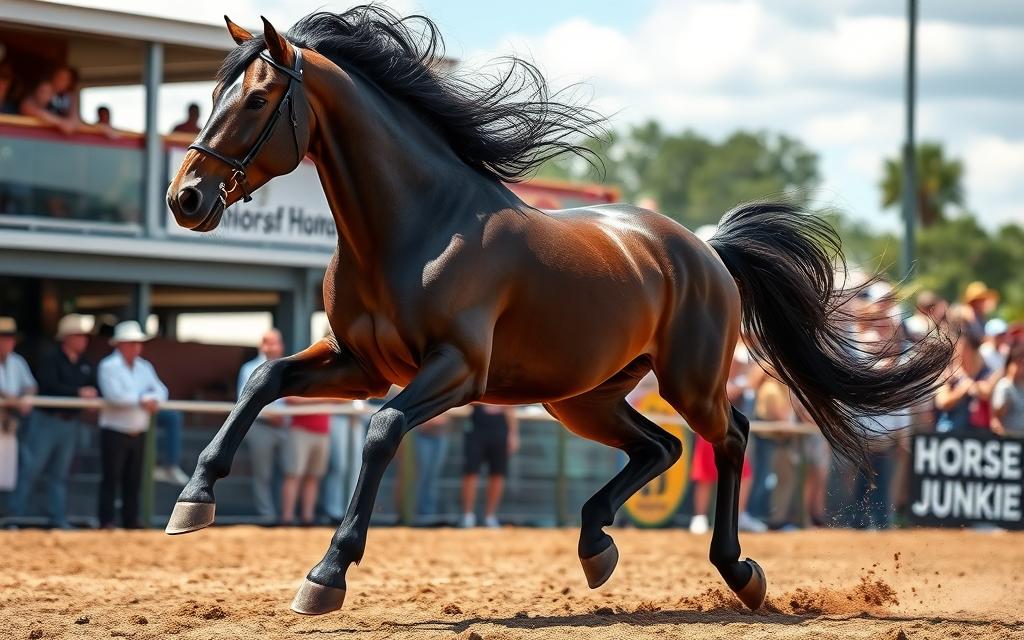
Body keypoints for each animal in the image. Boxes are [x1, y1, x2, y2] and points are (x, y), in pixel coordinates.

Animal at [161, 4, 950, 614]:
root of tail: (706, 249)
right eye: (215, 90)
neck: (416, 226)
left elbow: (381, 430)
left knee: (729, 439)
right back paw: (596, 544)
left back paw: (741, 573)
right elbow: (263, 382)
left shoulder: (455, 371)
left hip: (687, 383)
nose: (186, 198)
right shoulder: (360, 362)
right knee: (659, 448)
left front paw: (326, 574)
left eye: (257, 99)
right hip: (581, 399)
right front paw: (192, 502)